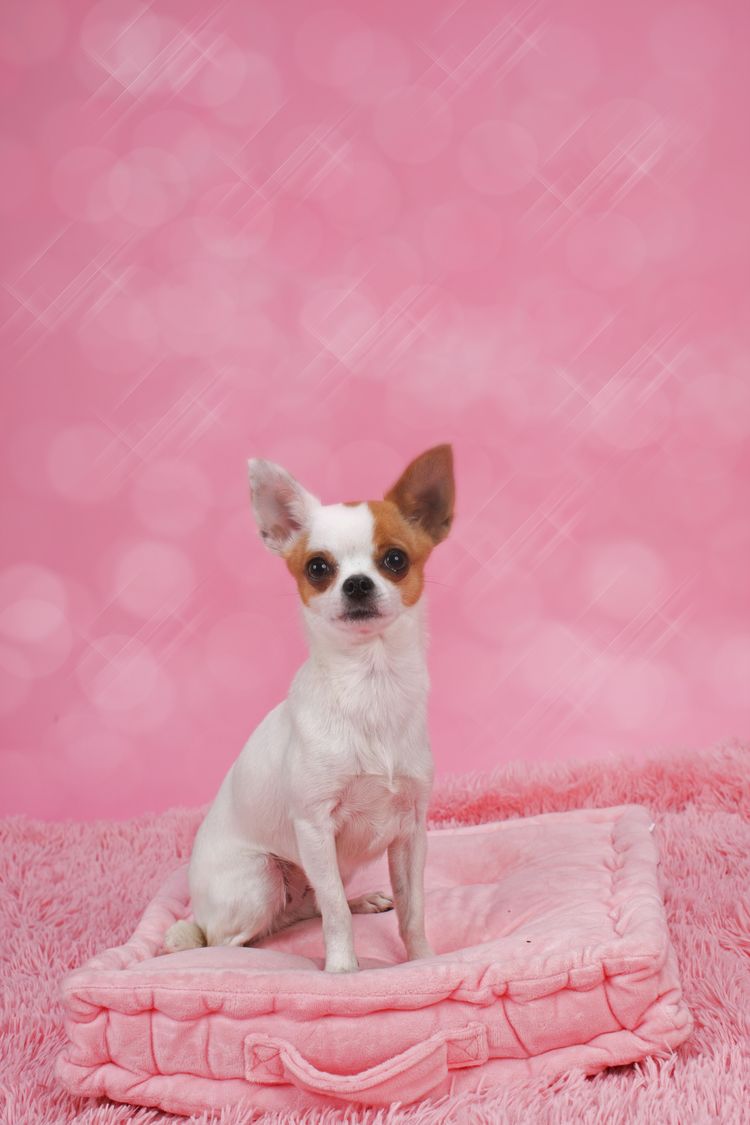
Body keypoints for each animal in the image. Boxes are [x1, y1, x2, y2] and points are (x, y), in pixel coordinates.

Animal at [164, 443, 454, 972]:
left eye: (395, 559)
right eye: (318, 568)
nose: (357, 583)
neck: (369, 684)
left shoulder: (410, 832)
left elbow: (412, 906)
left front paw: (422, 959)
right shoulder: (314, 827)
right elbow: (334, 913)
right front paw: (341, 970)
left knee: (307, 906)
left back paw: (361, 901)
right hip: (259, 880)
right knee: (235, 936)